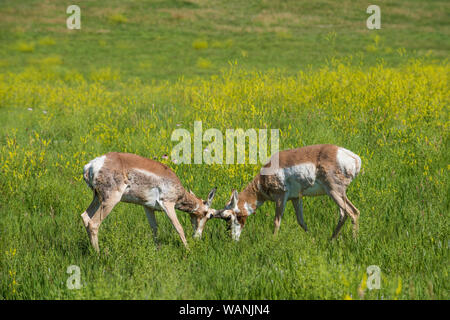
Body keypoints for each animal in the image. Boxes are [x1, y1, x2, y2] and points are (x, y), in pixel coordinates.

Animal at [81, 151, 217, 251]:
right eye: (209, 215)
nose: (198, 237)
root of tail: (92, 165)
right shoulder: (167, 204)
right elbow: (179, 228)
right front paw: (188, 250)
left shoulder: (148, 207)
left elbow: (154, 228)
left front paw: (158, 249)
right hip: (110, 200)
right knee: (93, 223)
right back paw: (98, 254)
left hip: (98, 198)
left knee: (85, 217)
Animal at [214, 145, 362, 240]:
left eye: (228, 217)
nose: (231, 238)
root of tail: (352, 157)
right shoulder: (296, 198)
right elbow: (301, 221)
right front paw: (312, 239)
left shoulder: (281, 197)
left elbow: (276, 221)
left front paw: (273, 241)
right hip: (339, 194)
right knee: (344, 214)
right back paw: (331, 240)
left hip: (334, 191)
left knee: (353, 212)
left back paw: (354, 241)